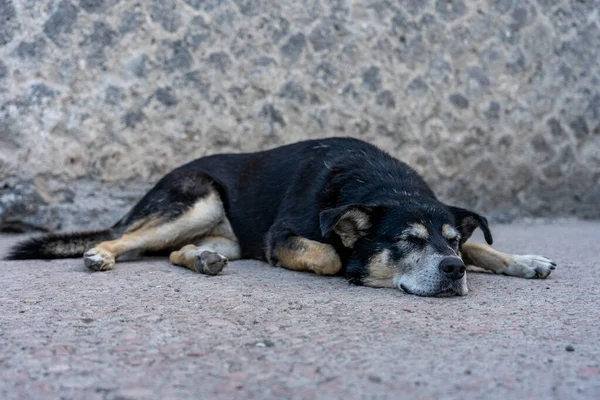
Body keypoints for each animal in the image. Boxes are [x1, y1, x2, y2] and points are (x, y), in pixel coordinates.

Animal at [7, 138, 556, 296]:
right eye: (408, 240)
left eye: (450, 241)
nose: (454, 271)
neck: (380, 183)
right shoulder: (281, 237)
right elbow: (331, 257)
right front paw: (350, 263)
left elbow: (483, 243)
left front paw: (524, 260)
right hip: (199, 199)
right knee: (128, 238)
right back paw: (99, 253)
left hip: (226, 234)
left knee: (175, 251)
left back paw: (202, 259)